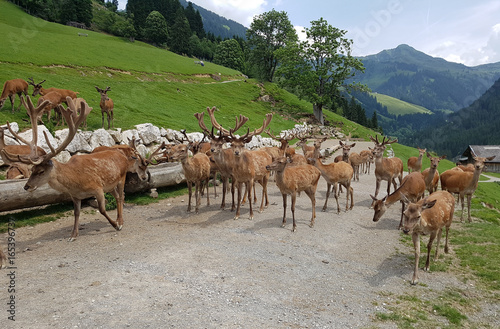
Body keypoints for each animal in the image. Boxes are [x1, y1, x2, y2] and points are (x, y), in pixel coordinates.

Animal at [0, 95, 141, 241]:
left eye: (41, 171)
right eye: (32, 170)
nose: (26, 186)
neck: (75, 181)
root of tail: (122, 155)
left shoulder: (97, 188)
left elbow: (102, 209)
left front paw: (115, 225)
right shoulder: (75, 196)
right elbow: (76, 213)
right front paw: (73, 235)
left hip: (121, 178)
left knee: (121, 196)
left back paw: (120, 221)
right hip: (110, 185)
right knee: (118, 196)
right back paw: (119, 219)